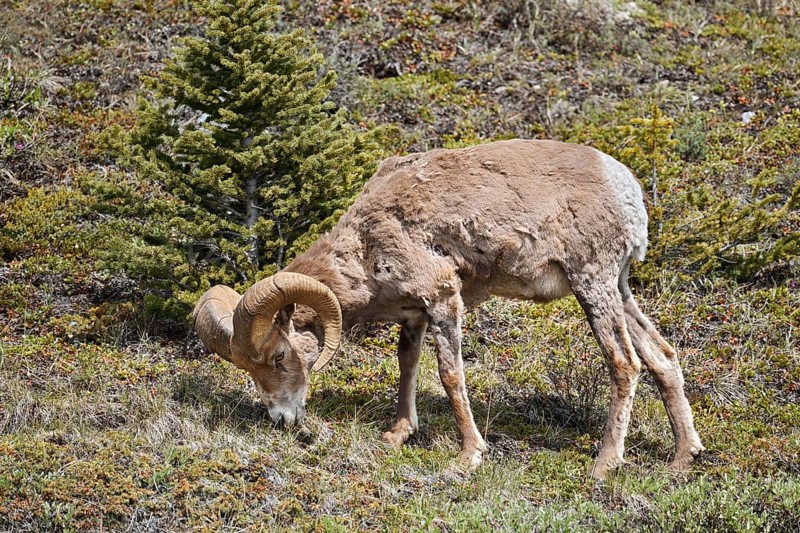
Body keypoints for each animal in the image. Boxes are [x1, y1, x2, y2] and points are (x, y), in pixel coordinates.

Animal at [193, 139, 704, 479]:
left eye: (280, 357)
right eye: (249, 369)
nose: (281, 418)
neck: (366, 243)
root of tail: (625, 187)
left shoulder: (443, 299)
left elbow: (450, 376)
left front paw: (469, 456)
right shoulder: (414, 315)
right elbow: (407, 365)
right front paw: (398, 434)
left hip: (592, 285)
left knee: (625, 364)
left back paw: (605, 462)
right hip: (619, 288)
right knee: (662, 357)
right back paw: (683, 458)